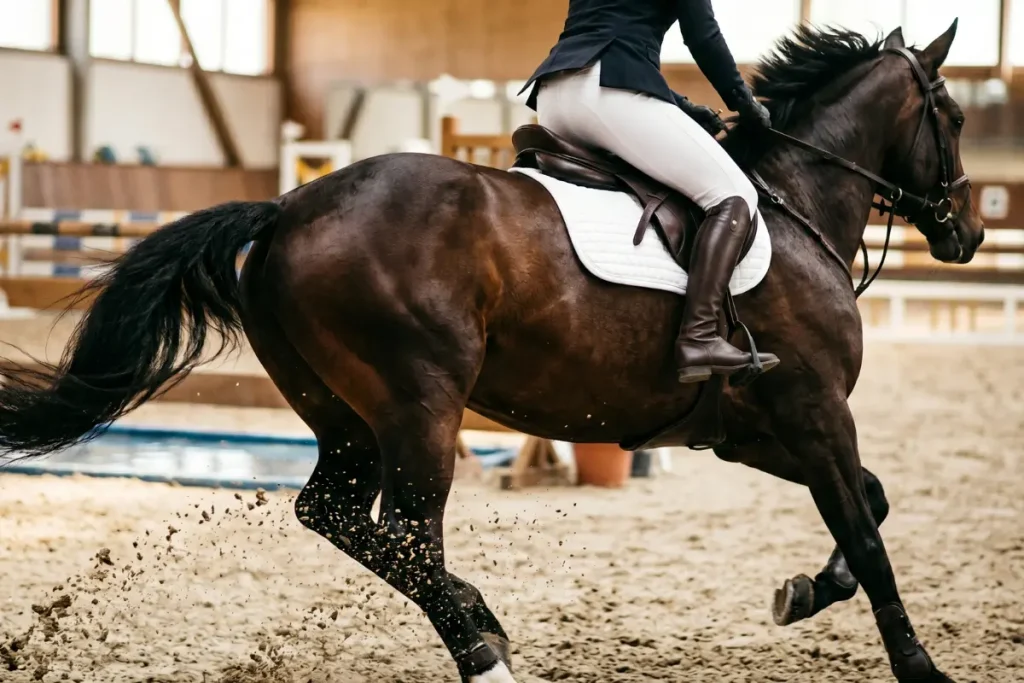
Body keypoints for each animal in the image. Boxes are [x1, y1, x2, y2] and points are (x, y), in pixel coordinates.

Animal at [0, 22, 982, 683]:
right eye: (957, 117)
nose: (969, 231)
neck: (793, 201)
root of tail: (287, 208)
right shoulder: (817, 412)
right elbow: (867, 531)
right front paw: (919, 665)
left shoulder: (753, 430)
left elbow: (872, 504)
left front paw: (802, 592)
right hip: (420, 402)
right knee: (408, 532)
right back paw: (484, 654)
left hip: (345, 414)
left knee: (338, 515)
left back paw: (482, 617)